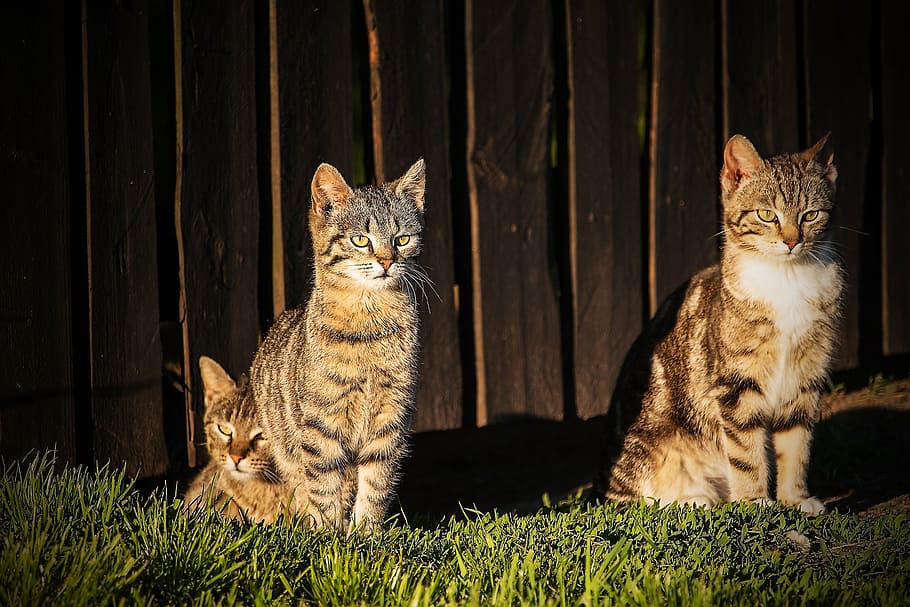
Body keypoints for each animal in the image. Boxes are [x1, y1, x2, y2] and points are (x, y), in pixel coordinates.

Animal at [248, 159, 430, 536]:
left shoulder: (391, 418)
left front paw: (366, 534)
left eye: (402, 239)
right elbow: (323, 485)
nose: (387, 261)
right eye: (360, 239)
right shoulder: (321, 424)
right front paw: (329, 534)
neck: (369, 326)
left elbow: (376, 483)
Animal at [604, 132, 848, 512]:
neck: (787, 279)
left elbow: (796, 444)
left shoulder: (806, 378)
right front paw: (755, 502)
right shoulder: (736, 383)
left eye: (810, 215)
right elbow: (746, 451)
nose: (792, 241)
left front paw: (795, 499)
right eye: (766, 214)